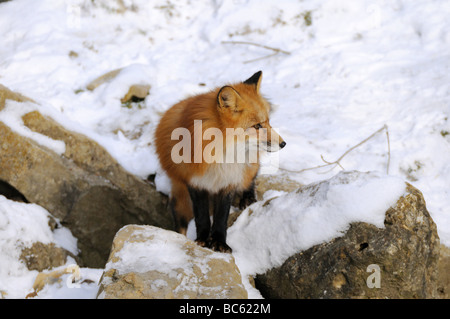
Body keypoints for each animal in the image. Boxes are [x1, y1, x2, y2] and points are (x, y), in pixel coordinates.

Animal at [156, 72, 284, 252]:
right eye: (257, 126)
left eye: (268, 122)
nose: (283, 143)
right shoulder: (195, 182)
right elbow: (202, 215)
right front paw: (202, 240)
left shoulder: (228, 180)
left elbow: (221, 216)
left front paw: (219, 242)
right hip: (181, 199)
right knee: (181, 222)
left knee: (250, 179)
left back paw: (248, 198)